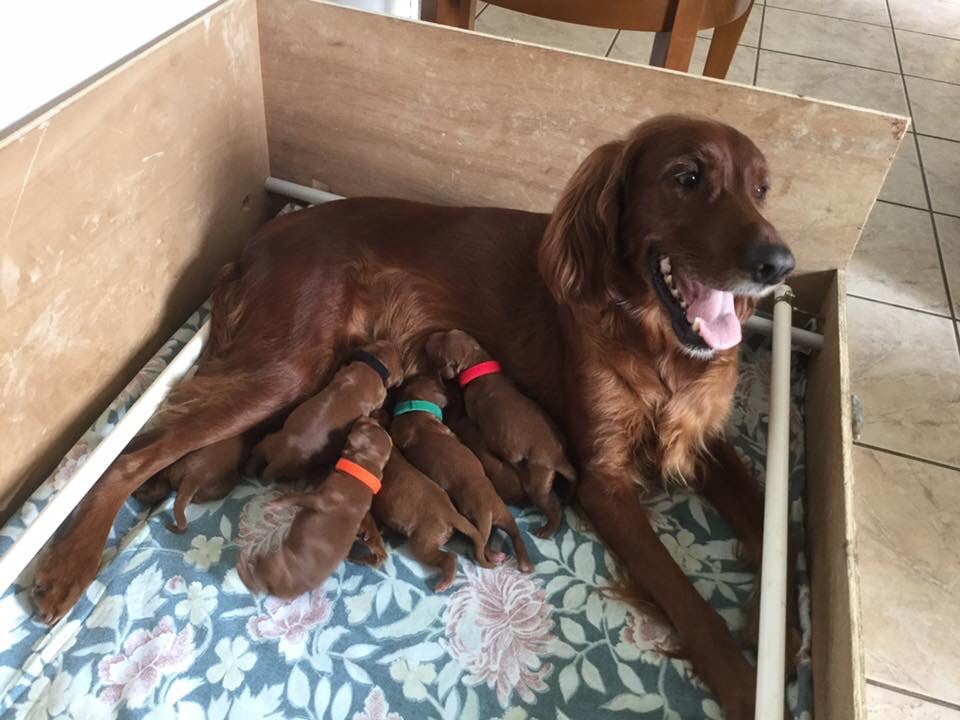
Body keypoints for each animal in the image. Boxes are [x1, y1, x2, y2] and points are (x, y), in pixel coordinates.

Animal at [238, 416, 392, 596]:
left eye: (365, 426)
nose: (365, 416)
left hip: (275, 566)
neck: (362, 473)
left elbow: (295, 497)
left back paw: (244, 562)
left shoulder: (321, 499)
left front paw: (275, 504)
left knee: (254, 580)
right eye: (373, 424)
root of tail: (276, 589)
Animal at [392, 376, 540, 572]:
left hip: (497, 516)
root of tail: (485, 510)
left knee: (496, 539)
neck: (413, 407)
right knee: (487, 543)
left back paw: (521, 562)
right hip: (497, 513)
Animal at [430, 330, 576, 536]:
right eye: (448, 333)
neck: (477, 362)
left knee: (553, 508)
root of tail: (559, 458)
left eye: (439, 353)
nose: (429, 337)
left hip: (537, 480)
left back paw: (546, 530)